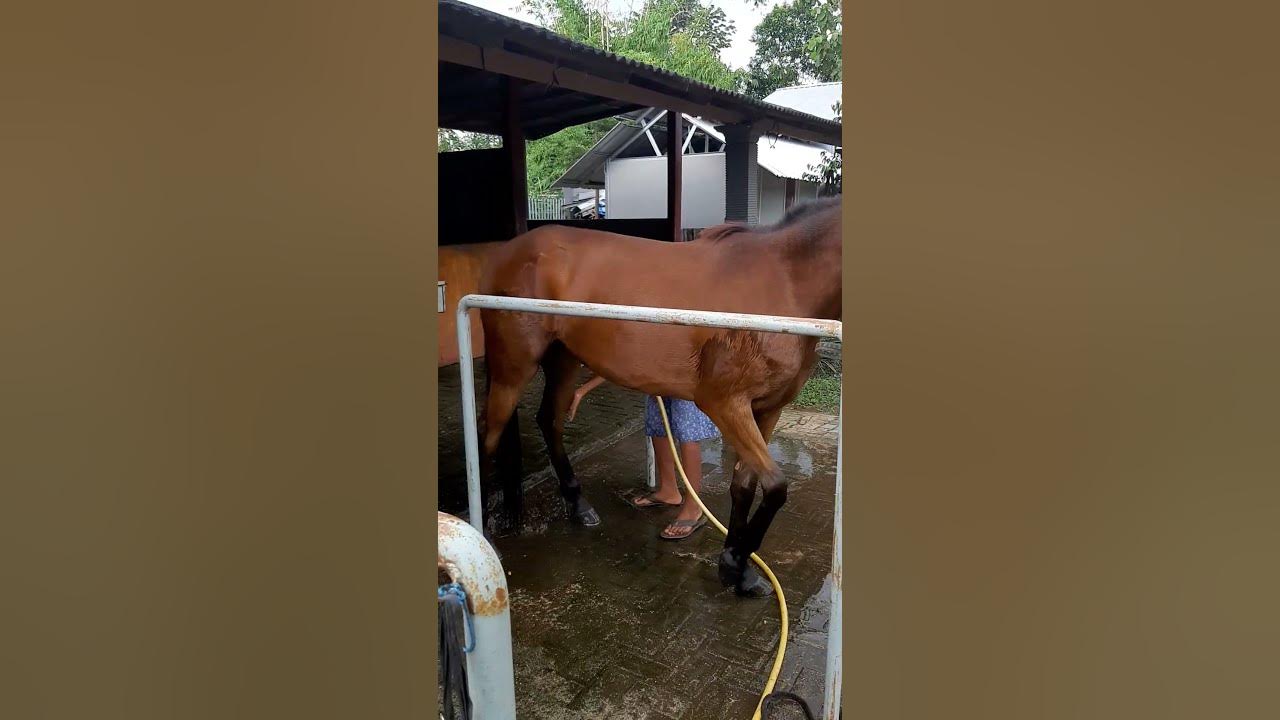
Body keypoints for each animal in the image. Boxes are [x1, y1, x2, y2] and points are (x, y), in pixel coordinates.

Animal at [475, 197, 841, 597]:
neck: (784, 283)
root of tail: (506, 253)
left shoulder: (768, 409)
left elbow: (745, 485)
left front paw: (738, 570)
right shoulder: (725, 404)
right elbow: (775, 487)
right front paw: (735, 564)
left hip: (564, 360)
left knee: (549, 421)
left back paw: (579, 506)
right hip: (513, 368)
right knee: (487, 435)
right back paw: (485, 536)